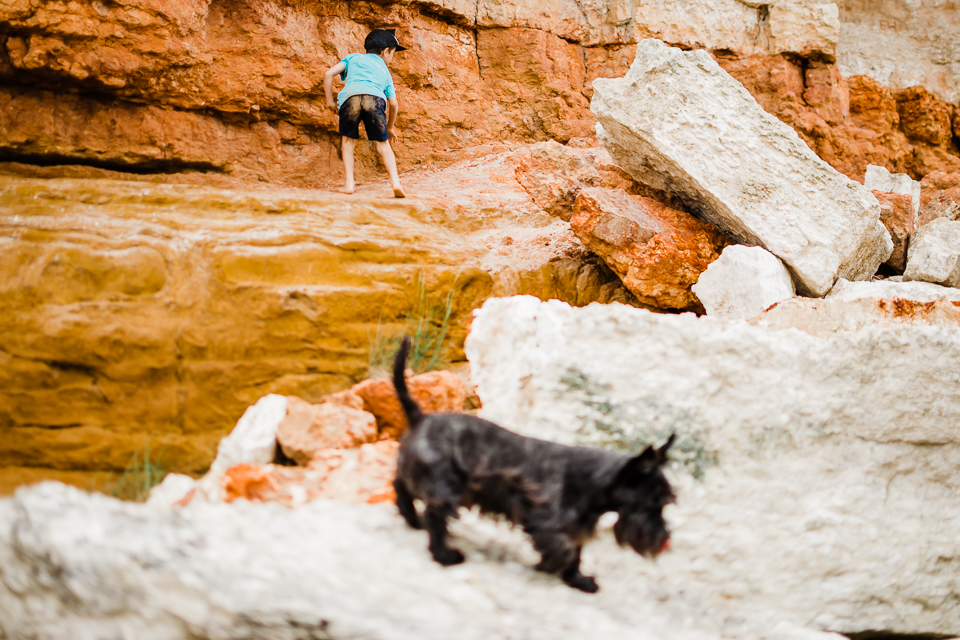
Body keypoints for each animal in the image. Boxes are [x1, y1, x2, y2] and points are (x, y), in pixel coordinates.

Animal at [390, 338, 676, 592]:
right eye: (651, 504)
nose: (664, 539)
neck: (591, 481)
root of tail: (420, 417)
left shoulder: (574, 526)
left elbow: (575, 553)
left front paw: (577, 580)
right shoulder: (546, 519)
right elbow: (564, 549)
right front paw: (549, 565)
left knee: (401, 487)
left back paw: (413, 520)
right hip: (447, 488)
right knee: (435, 515)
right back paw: (445, 554)